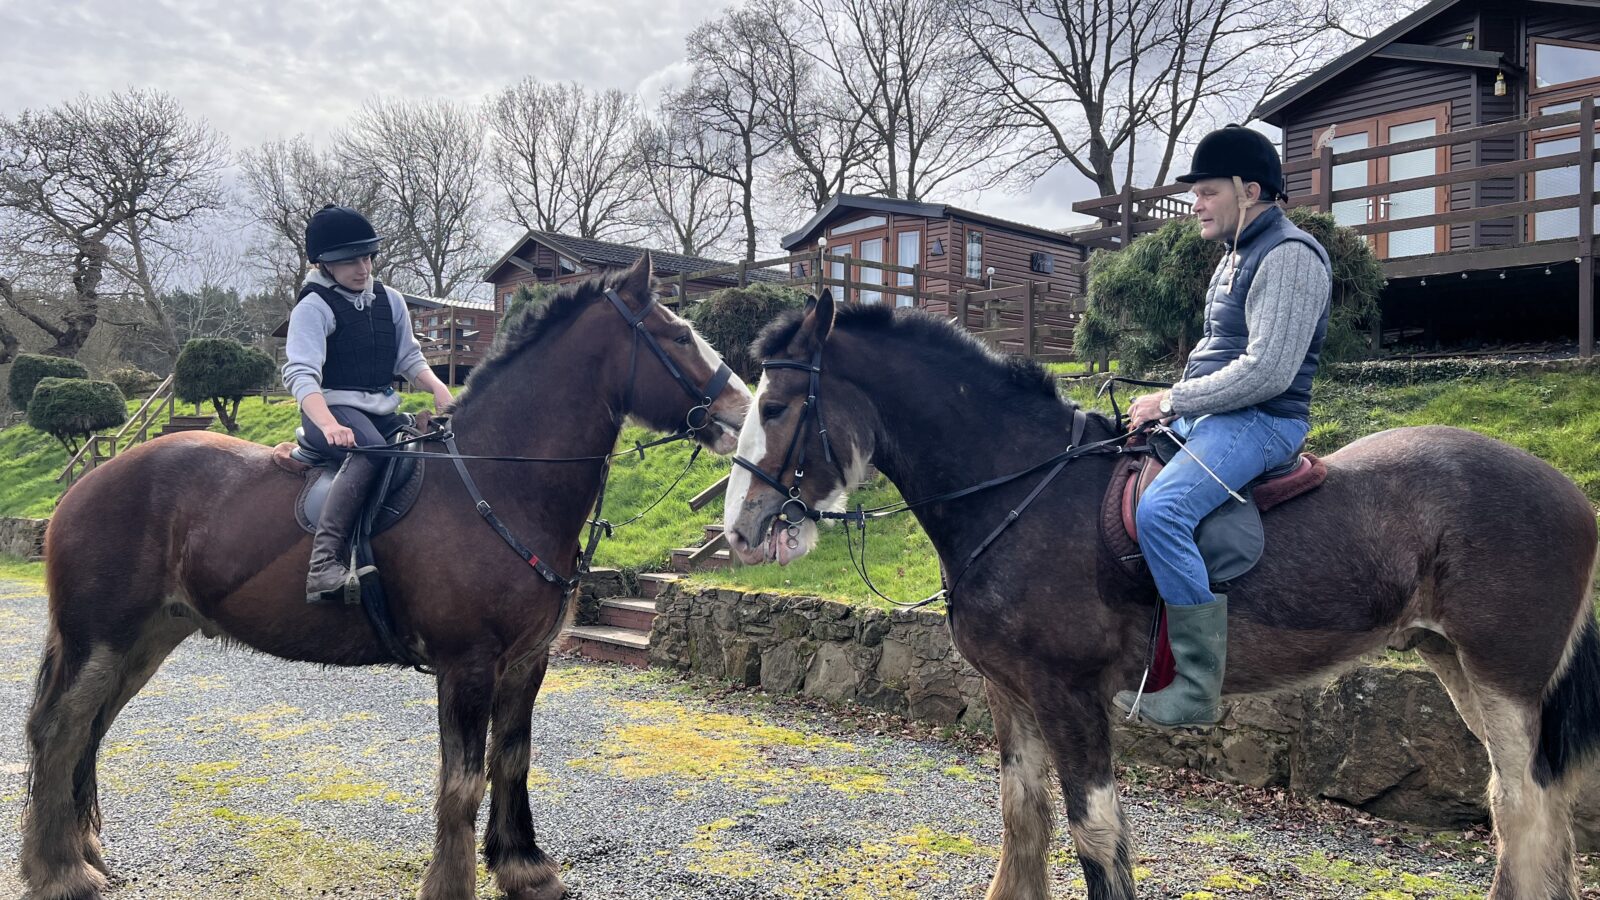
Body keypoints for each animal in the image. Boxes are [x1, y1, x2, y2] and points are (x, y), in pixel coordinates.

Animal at [23, 253, 748, 896]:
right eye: (679, 336)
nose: (743, 415)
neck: (498, 479)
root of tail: (83, 486)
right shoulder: (467, 664)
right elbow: (462, 782)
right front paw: (453, 885)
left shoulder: (525, 663)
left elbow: (512, 760)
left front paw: (523, 868)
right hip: (102, 640)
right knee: (59, 734)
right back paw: (59, 872)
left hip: (144, 641)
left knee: (88, 732)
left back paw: (80, 852)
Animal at [723, 288, 1600, 896]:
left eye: (777, 405)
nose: (740, 528)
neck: (1023, 489)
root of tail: (1570, 493)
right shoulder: (1011, 692)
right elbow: (1023, 820)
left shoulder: (1070, 694)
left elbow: (1095, 834)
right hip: (1454, 664)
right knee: (1520, 809)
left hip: (1503, 677)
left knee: (1525, 813)